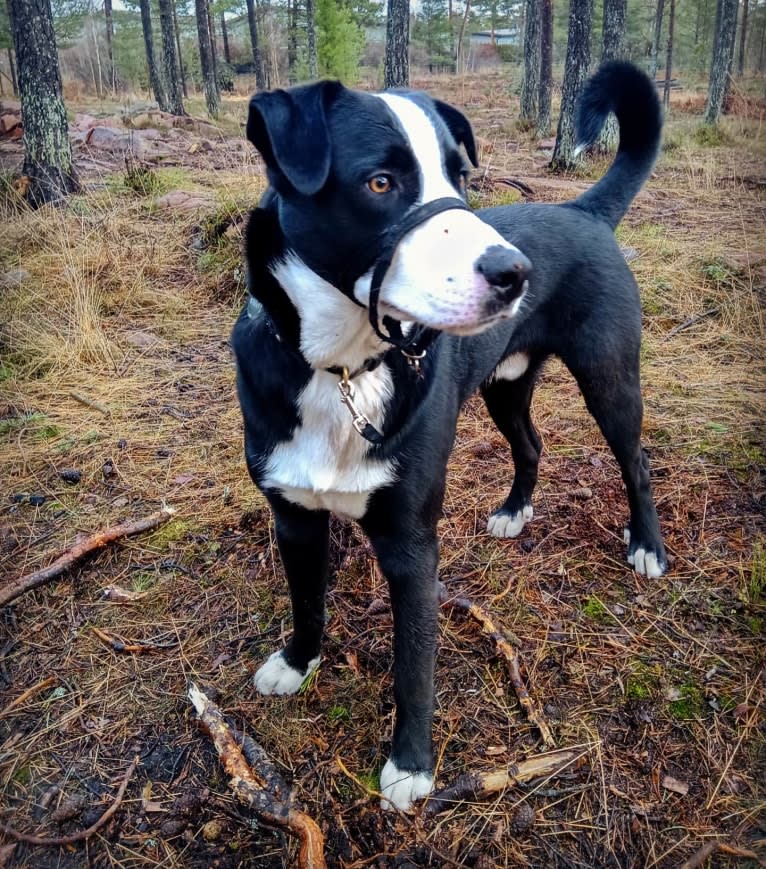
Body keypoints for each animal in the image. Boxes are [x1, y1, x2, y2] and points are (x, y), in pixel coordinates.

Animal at [231, 62, 668, 812]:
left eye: (459, 178)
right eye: (380, 183)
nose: (513, 273)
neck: (341, 369)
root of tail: (581, 210)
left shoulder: (411, 545)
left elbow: (414, 664)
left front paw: (411, 764)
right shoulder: (292, 516)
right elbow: (307, 599)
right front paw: (297, 661)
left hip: (610, 379)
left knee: (635, 460)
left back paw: (646, 545)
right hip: (504, 385)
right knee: (531, 444)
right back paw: (516, 510)